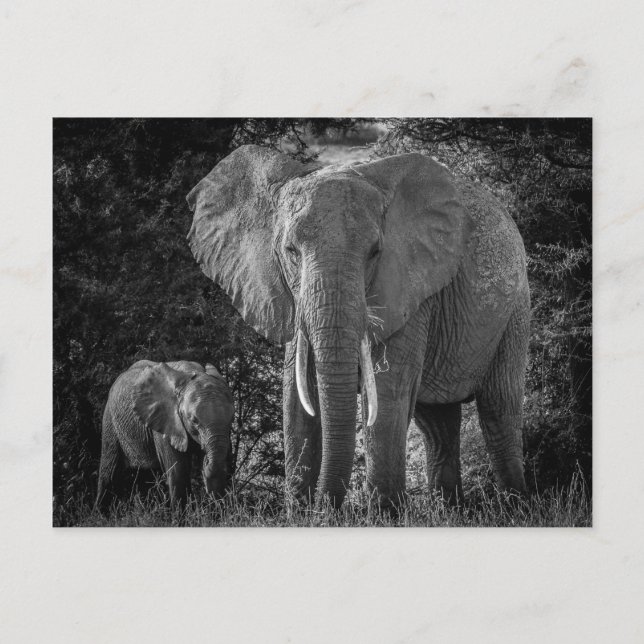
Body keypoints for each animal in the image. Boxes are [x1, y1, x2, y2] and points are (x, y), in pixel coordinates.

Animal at [95, 360, 234, 509]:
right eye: (194, 420)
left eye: (232, 419)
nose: (206, 461)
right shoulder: (165, 422)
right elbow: (178, 472)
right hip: (110, 422)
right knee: (109, 473)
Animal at [187, 144, 530, 509]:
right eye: (290, 251)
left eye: (375, 252)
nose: (326, 508)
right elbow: (296, 398)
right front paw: (301, 512)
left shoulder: (410, 286)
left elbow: (388, 391)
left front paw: (384, 514)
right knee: (437, 424)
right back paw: (450, 511)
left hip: (516, 310)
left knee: (498, 408)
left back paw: (514, 507)